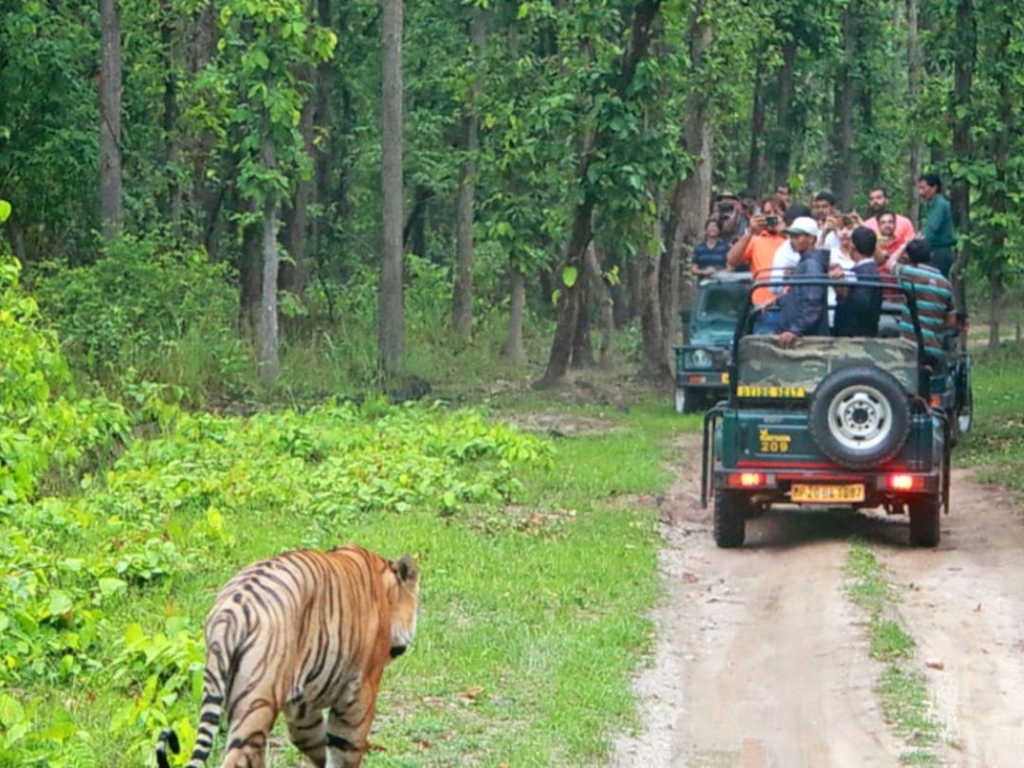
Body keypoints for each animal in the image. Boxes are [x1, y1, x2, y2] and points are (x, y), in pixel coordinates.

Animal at [155, 544, 419, 765]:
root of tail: (230, 611)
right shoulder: (361, 692)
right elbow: (344, 749)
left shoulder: (302, 707)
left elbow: (315, 742)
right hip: (257, 704)